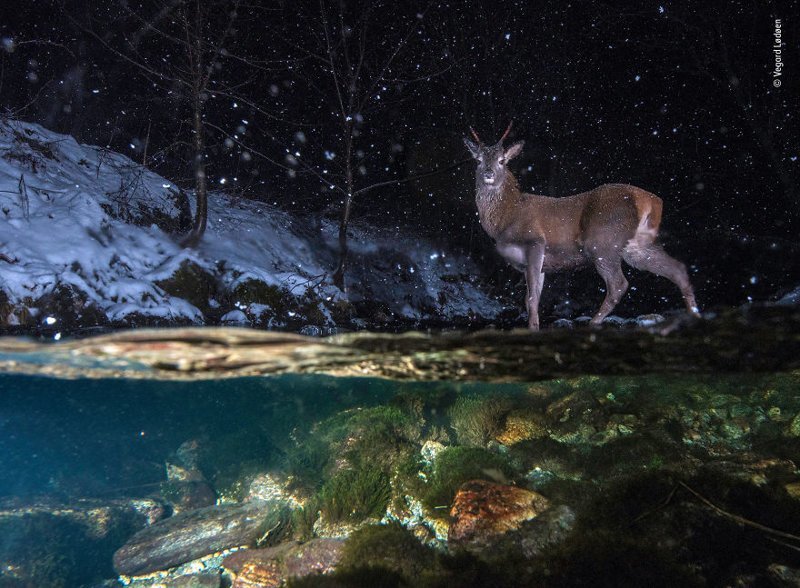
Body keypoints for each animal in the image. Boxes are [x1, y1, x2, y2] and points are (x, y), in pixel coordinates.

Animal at [462, 123, 700, 330]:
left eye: (502, 160)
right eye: (479, 160)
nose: (489, 173)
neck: (506, 217)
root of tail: (650, 200)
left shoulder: (535, 241)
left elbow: (531, 298)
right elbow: (534, 297)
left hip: (603, 241)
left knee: (619, 284)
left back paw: (593, 323)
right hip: (637, 246)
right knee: (677, 268)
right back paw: (694, 315)